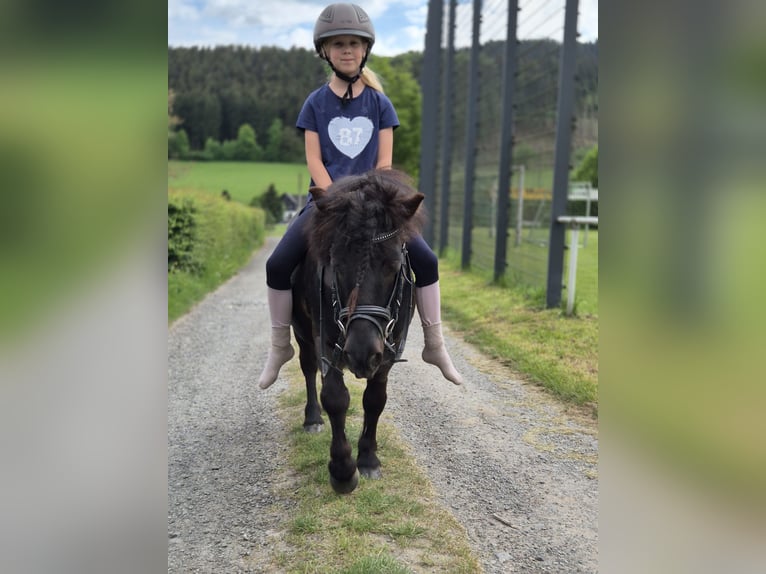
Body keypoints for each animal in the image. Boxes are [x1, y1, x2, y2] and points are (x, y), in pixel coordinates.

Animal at [292, 170, 426, 496]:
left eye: (393, 266)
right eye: (337, 265)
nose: (361, 354)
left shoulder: (387, 351)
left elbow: (375, 400)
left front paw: (368, 459)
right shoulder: (326, 343)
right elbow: (335, 398)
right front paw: (342, 471)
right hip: (302, 332)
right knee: (307, 368)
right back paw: (312, 419)